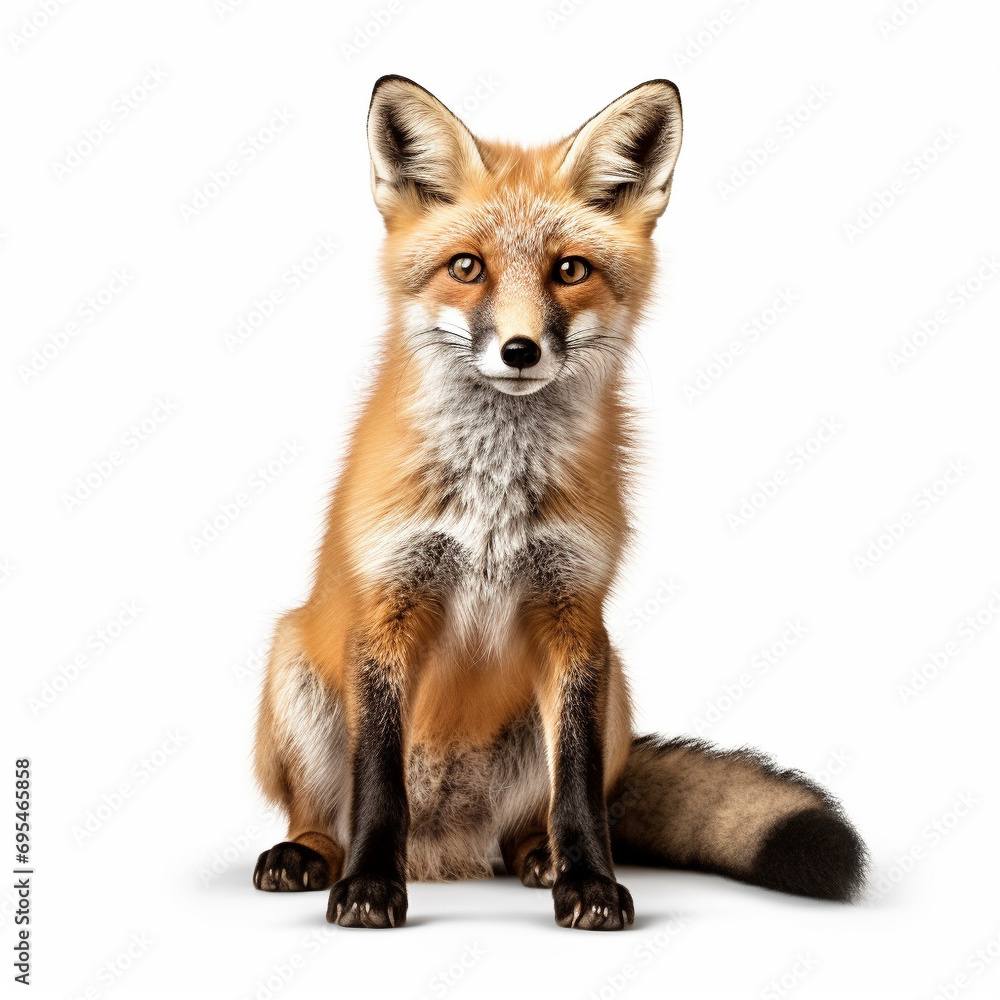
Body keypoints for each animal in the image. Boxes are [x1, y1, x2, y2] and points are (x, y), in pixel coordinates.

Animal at [252, 75, 867, 930]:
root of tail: (445, 848)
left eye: (570, 270)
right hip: (293, 670)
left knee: (541, 818)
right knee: (325, 812)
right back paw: (310, 855)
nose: (519, 351)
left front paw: (590, 884)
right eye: (467, 267)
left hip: (614, 681)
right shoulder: (390, 608)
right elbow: (377, 782)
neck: (493, 498)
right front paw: (371, 885)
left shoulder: (572, 614)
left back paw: (539, 857)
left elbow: (576, 784)